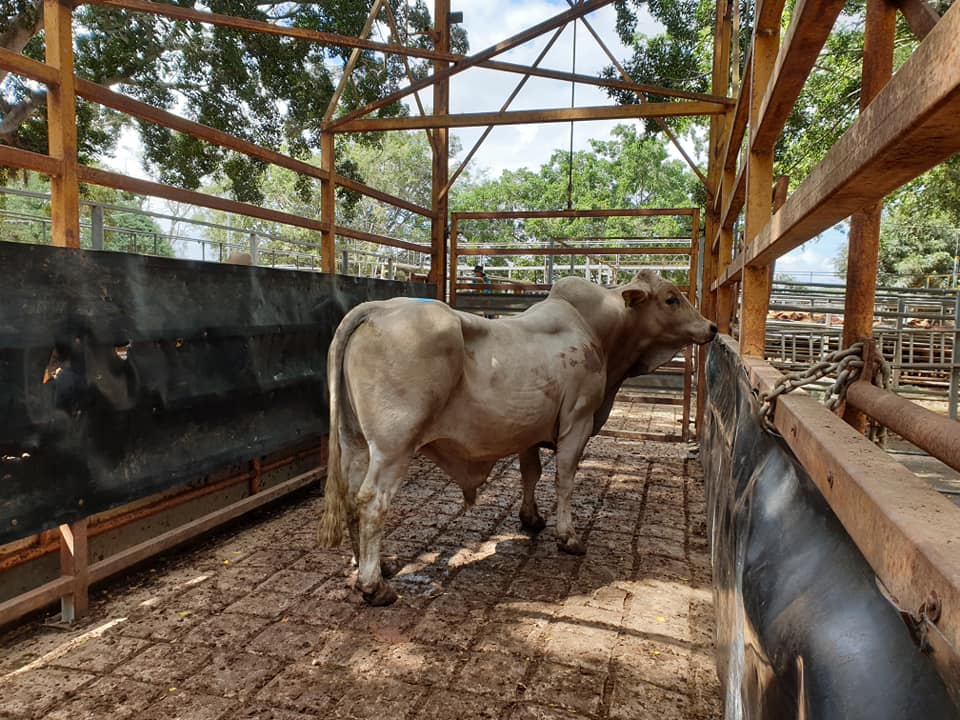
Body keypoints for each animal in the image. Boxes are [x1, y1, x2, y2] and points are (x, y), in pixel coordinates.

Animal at [317, 270, 717, 605]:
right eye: (671, 298)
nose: (712, 327)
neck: (600, 331)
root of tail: (378, 309)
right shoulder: (577, 420)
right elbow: (565, 478)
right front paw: (569, 537)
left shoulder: (530, 430)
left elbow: (531, 473)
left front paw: (532, 518)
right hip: (393, 447)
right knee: (373, 501)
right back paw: (374, 586)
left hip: (355, 442)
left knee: (351, 496)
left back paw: (371, 565)